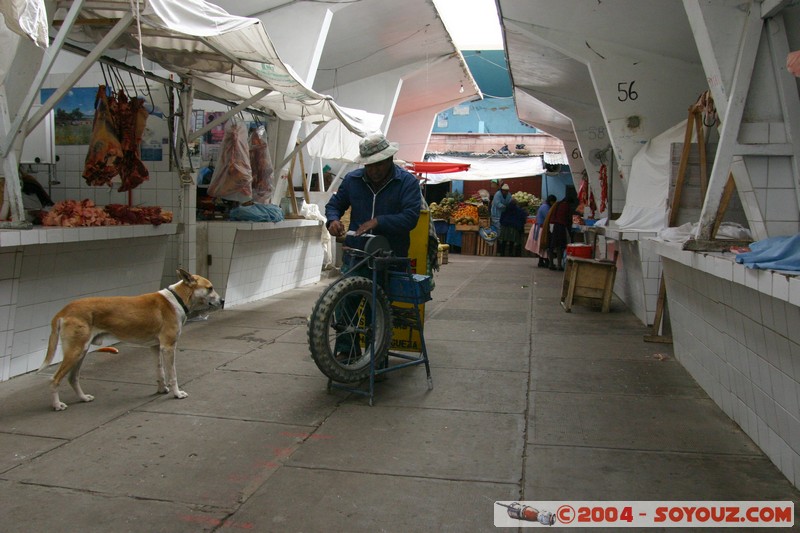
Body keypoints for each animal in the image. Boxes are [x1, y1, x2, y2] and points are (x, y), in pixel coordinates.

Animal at [39, 270, 223, 412]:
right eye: (210, 288)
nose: (222, 301)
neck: (177, 298)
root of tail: (64, 310)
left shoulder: (156, 346)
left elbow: (160, 371)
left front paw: (162, 389)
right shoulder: (169, 347)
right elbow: (172, 374)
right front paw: (177, 393)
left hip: (81, 351)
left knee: (72, 378)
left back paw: (83, 398)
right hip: (75, 351)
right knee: (54, 379)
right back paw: (57, 405)